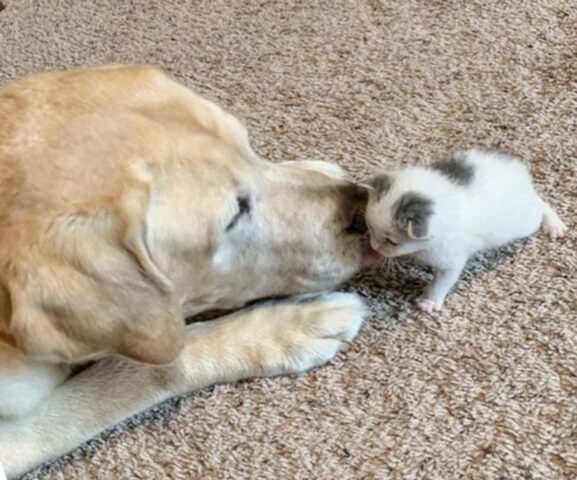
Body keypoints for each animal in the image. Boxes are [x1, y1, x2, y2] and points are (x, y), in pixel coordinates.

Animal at [0, 64, 368, 476]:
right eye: (235, 215)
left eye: (248, 146)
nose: (363, 208)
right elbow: (144, 370)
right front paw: (286, 325)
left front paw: (311, 167)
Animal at [362, 148, 564, 314]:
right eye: (370, 227)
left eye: (392, 242)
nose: (374, 246)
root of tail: (520, 171)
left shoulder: (451, 258)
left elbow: (442, 281)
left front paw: (429, 301)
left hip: (524, 223)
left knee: (539, 203)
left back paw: (554, 224)